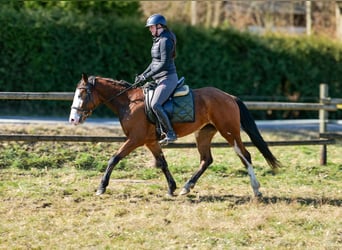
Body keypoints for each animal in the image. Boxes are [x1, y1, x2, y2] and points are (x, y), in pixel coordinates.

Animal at [69, 73, 280, 197]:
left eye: (81, 94)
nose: (73, 119)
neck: (129, 102)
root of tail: (229, 96)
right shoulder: (150, 141)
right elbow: (162, 163)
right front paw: (172, 188)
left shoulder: (135, 139)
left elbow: (114, 158)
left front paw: (101, 187)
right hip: (203, 134)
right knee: (206, 160)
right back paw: (187, 187)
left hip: (230, 132)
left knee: (245, 155)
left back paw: (256, 189)